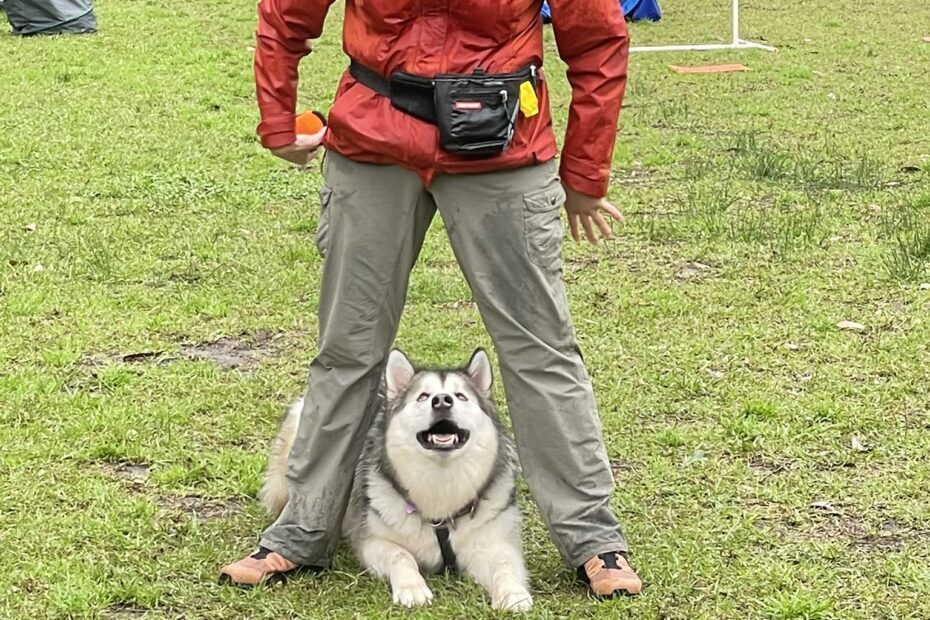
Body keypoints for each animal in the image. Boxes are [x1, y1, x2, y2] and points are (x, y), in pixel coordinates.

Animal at [258, 348, 532, 612]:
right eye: (423, 396)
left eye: (461, 396)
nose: (442, 401)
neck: (440, 483)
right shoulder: (372, 542)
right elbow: (400, 555)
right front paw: (412, 588)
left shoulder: (495, 542)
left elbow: (504, 563)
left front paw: (513, 594)